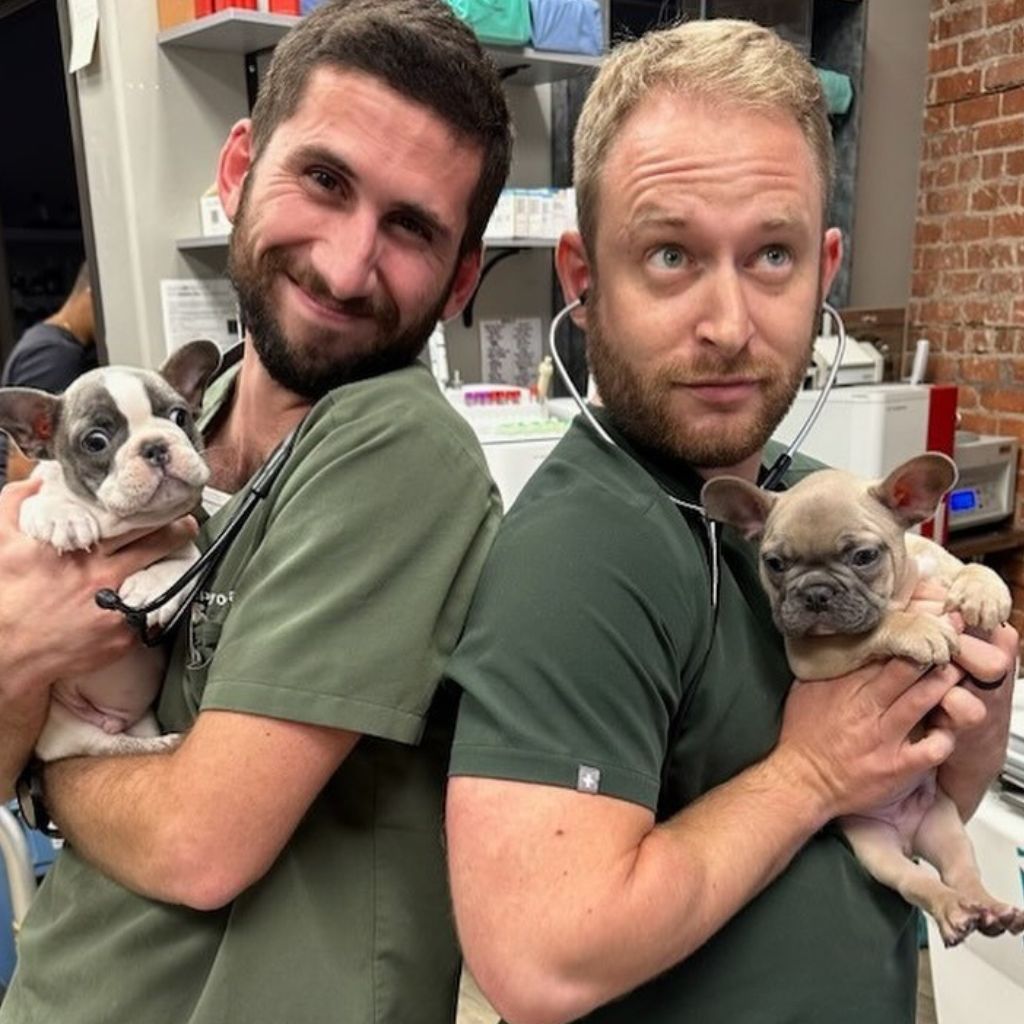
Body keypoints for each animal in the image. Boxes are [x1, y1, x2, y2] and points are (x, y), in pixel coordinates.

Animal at [0, 339, 220, 765]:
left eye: (179, 416)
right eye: (96, 441)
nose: (155, 446)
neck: (119, 522)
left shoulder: (182, 539)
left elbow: (182, 561)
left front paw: (150, 588)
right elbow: (36, 502)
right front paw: (62, 516)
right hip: (72, 729)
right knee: (107, 745)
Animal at [704, 452, 1024, 946]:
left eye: (864, 556)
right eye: (774, 563)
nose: (815, 592)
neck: (903, 586)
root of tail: (908, 834)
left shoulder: (938, 566)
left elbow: (973, 569)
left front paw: (983, 592)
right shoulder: (813, 652)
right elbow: (876, 628)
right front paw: (918, 628)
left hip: (947, 827)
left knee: (963, 871)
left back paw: (988, 907)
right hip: (878, 850)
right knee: (920, 882)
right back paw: (954, 911)